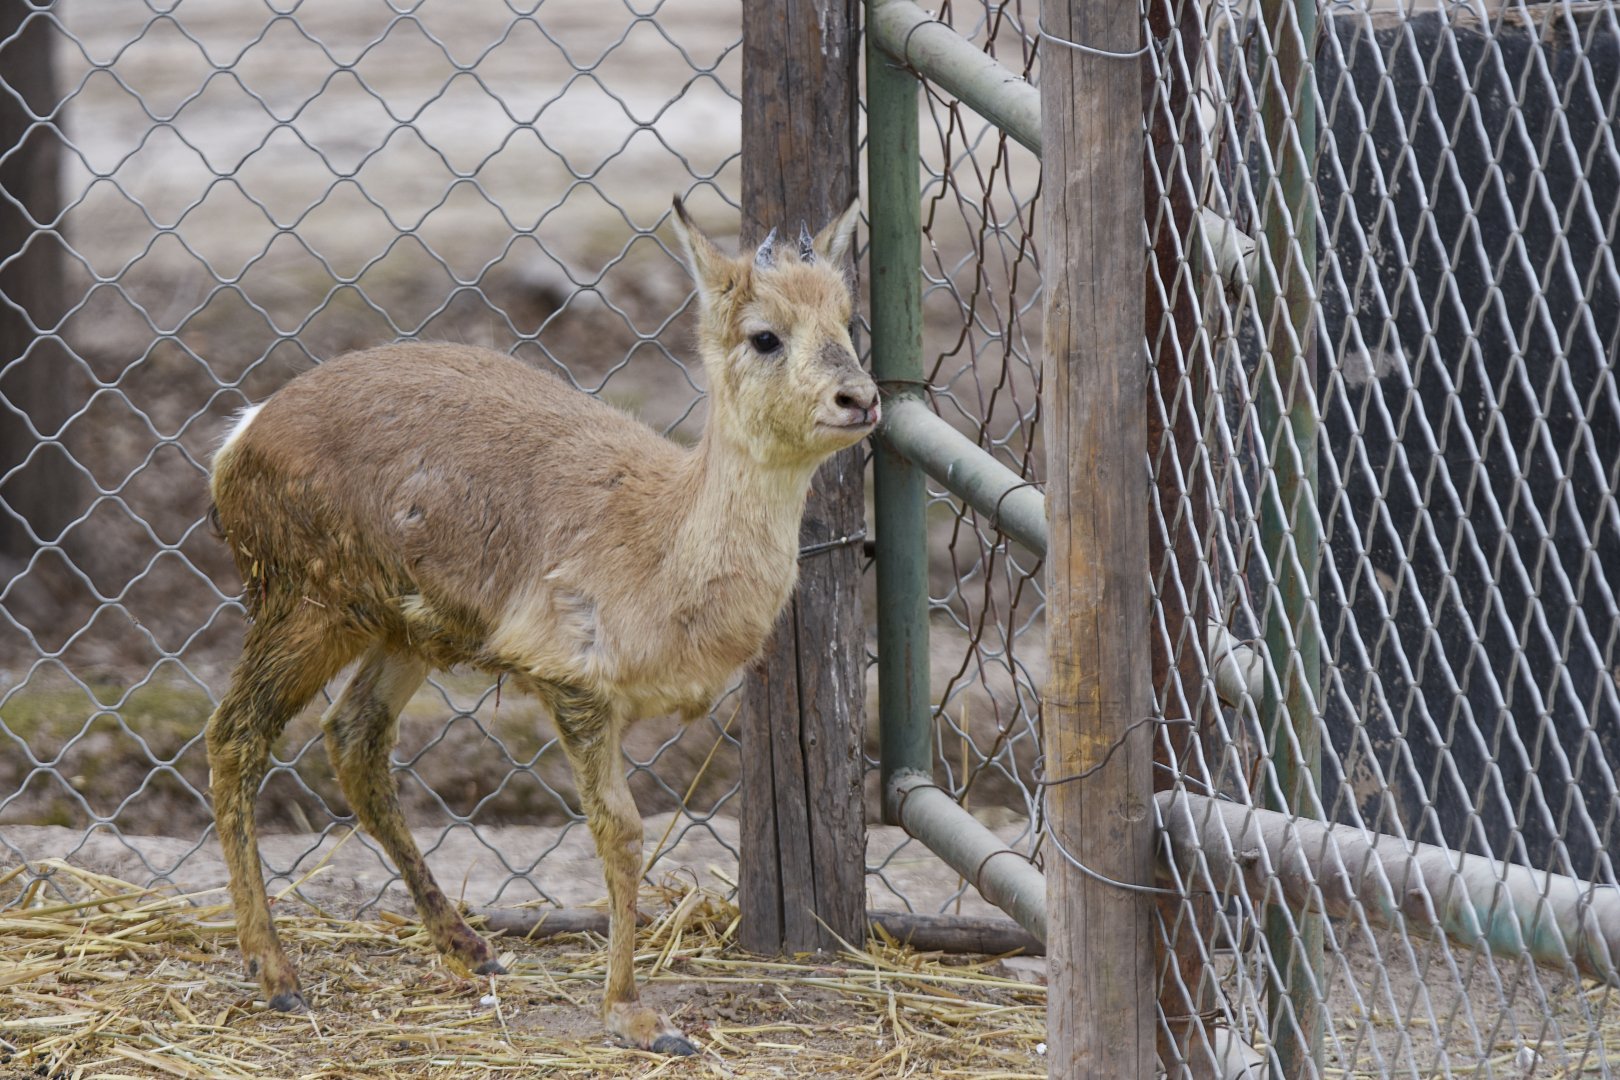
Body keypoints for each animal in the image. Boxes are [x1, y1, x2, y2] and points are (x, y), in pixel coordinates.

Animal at [204, 199, 875, 1056]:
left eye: (848, 318)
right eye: (764, 334)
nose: (860, 398)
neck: (661, 546)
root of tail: (239, 437)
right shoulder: (574, 679)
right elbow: (621, 832)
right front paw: (636, 1015)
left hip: (403, 631)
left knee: (353, 739)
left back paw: (470, 947)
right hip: (308, 605)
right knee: (237, 734)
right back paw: (277, 973)